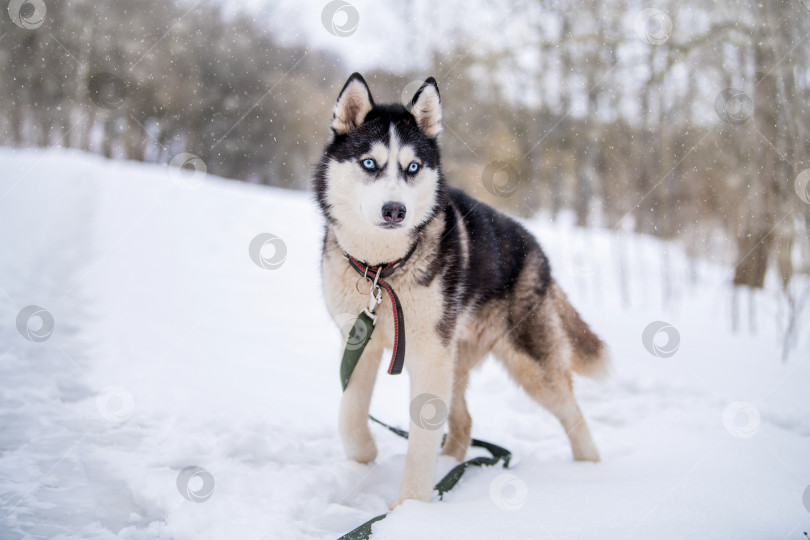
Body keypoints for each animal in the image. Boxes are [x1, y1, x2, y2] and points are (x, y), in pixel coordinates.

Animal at [312, 73, 608, 506]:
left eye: (412, 167)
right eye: (369, 163)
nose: (395, 210)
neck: (383, 270)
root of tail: (538, 250)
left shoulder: (427, 357)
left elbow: (420, 440)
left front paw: (410, 507)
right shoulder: (358, 339)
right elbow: (349, 410)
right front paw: (362, 458)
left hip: (528, 365)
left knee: (574, 413)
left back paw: (590, 473)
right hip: (455, 357)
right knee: (464, 421)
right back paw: (452, 464)